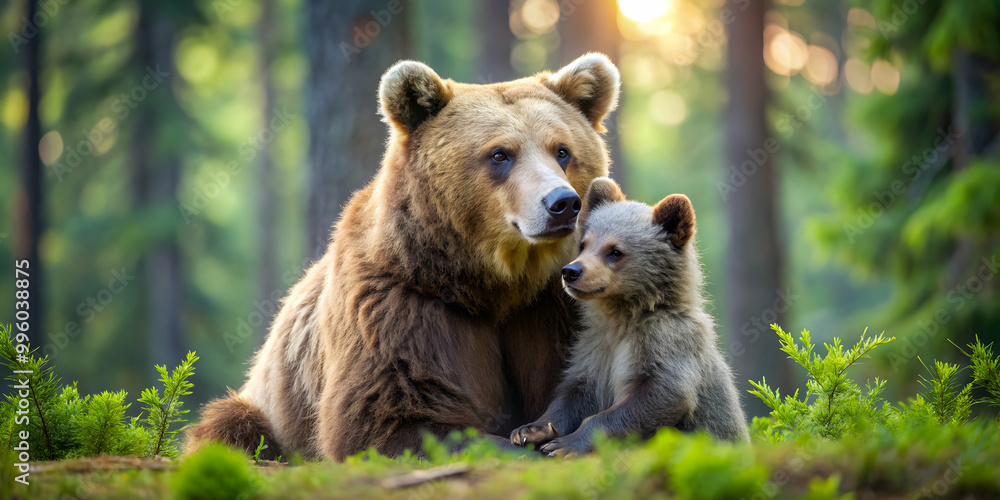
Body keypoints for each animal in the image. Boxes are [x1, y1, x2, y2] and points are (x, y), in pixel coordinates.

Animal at [184, 53, 622, 460]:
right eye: (500, 154)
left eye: (562, 150)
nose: (562, 203)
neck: (493, 283)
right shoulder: (400, 302)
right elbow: (391, 416)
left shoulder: (552, 306)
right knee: (231, 425)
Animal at [510, 177, 750, 457]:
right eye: (584, 244)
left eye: (615, 251)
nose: (571, 271)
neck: (623, 314)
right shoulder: (594, 347)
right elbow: (574, 393)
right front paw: (530, 429)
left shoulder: (666, 341)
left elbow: (660, 395)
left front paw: (566, 444)